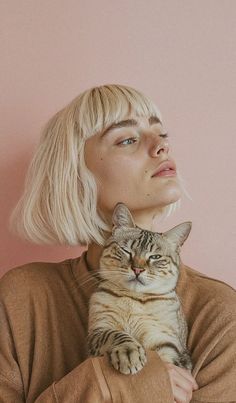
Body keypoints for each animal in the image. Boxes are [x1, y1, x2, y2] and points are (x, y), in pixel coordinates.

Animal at [87, 202, 193, 376]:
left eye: (155, 257)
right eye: (126, 250)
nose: (137, 269)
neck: (134, 298)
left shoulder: (164, 339)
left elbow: (164, 361)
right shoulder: (98, 329)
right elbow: (117, 334)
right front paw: (129, 353)